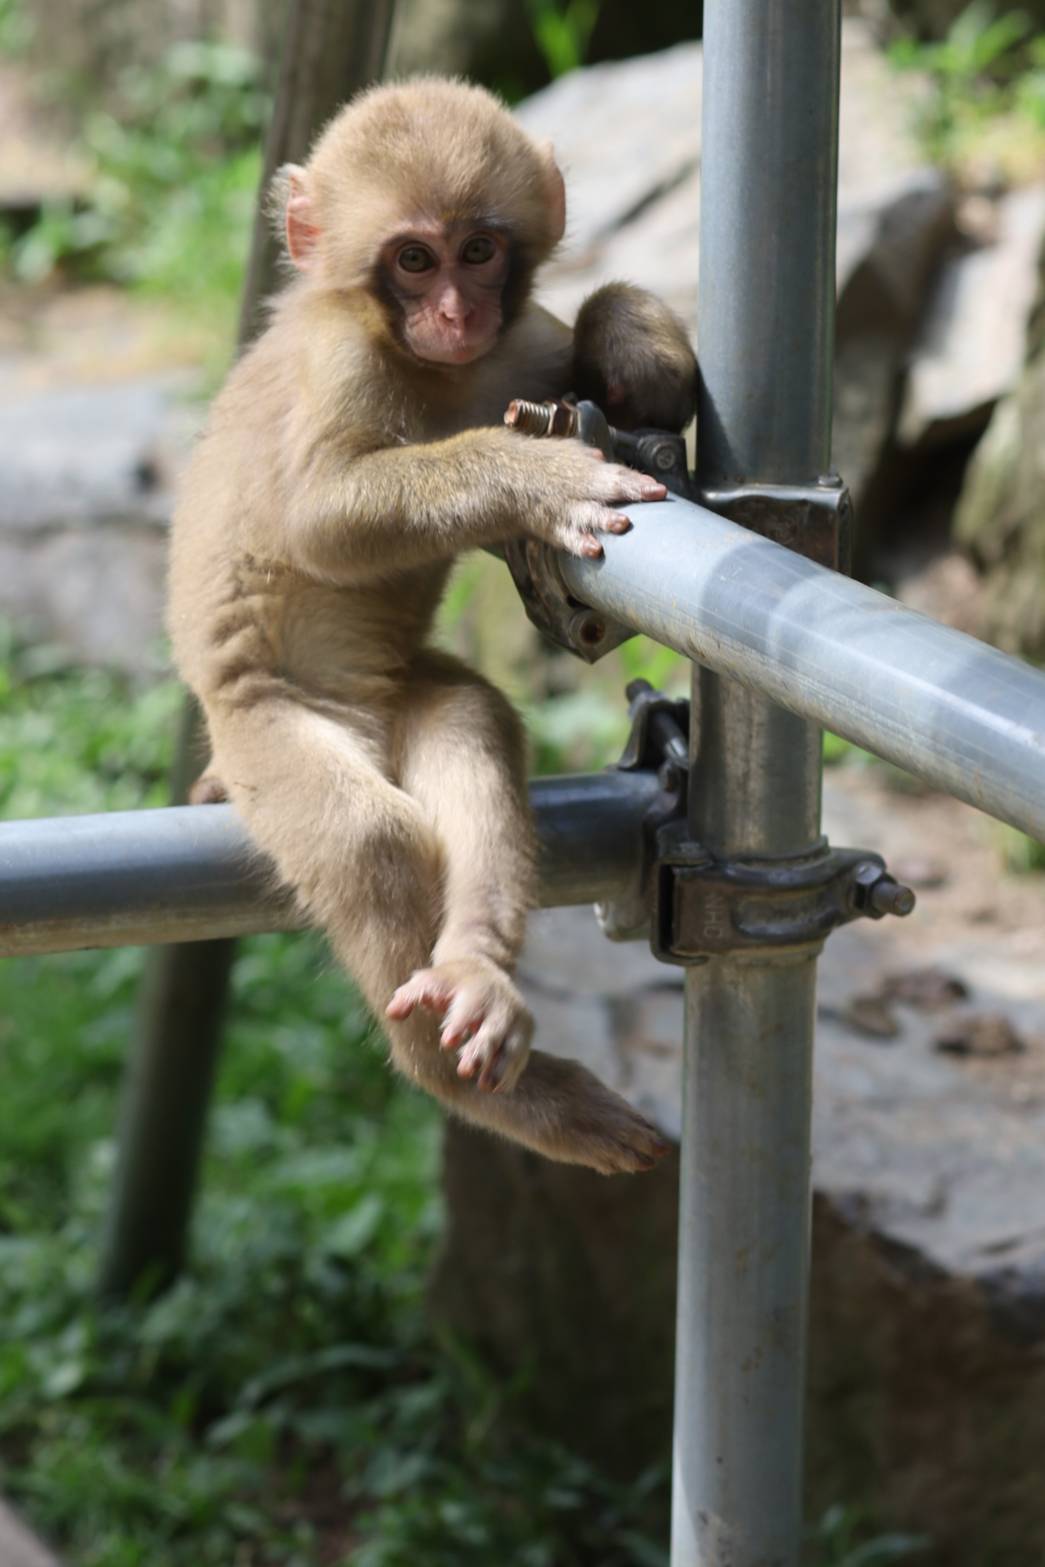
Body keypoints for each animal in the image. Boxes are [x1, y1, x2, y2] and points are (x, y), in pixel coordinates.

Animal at [167, 76, 698, 1178]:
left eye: (479, 249)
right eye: (412, 259)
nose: (454, 312)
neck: (441, 372)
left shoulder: (519, 345)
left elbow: (582, 345)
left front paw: (633, 345)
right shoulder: (339, 361)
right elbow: (321, 518)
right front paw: (538, 479)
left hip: (403, 693)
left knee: (469, 725)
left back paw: (475, 979)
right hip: (262, 734)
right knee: (366, 835)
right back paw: (481, 1085)